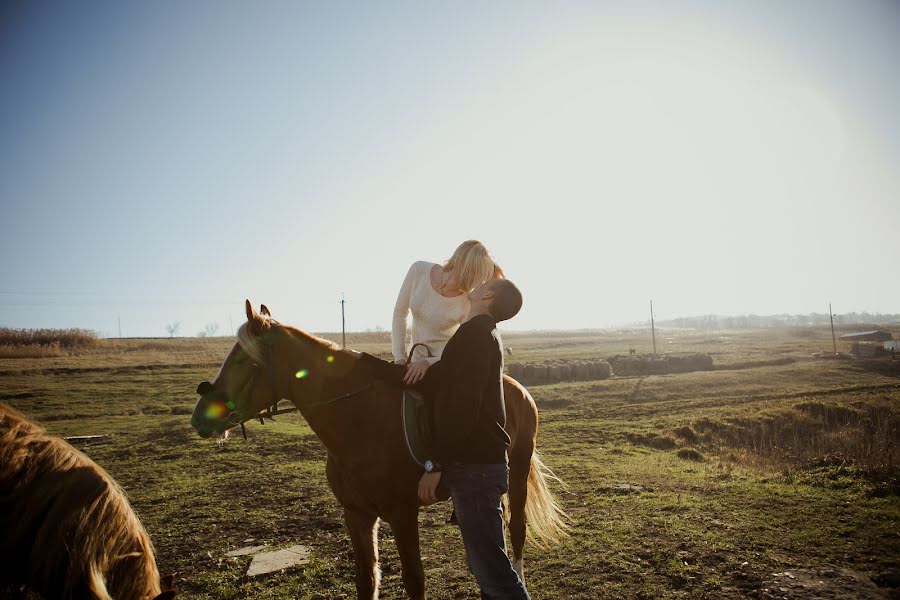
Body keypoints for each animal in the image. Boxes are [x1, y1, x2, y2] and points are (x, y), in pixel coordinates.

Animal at [192, 302, 568, 596]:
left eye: (242, 360)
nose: (199, 418)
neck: (359, 419)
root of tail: (517, 387)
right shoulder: (356, 513)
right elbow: (366, 579)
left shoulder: (402, 514)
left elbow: (414, 580)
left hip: (518, 468)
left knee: (516, 530)